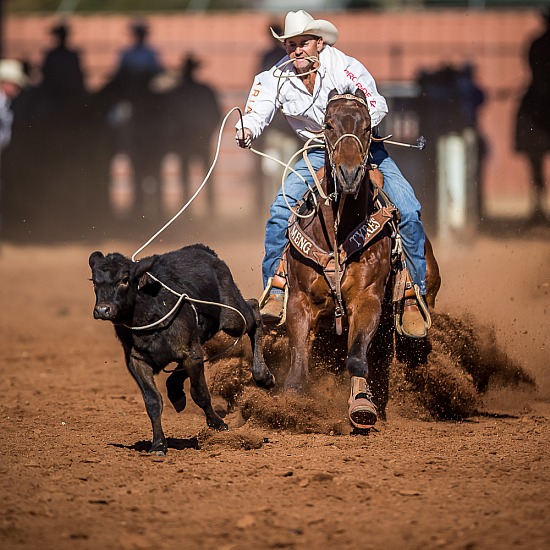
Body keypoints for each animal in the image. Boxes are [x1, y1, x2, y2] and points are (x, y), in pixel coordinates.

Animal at [284, 88, 440, 432]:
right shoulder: (300, 300)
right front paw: (291, 402)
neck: (337, 231)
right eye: (328, 125)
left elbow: (357, 357)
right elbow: (299, 358)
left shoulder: (367, 299)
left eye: (368, 127)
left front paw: (361, 405)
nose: (350, 174)